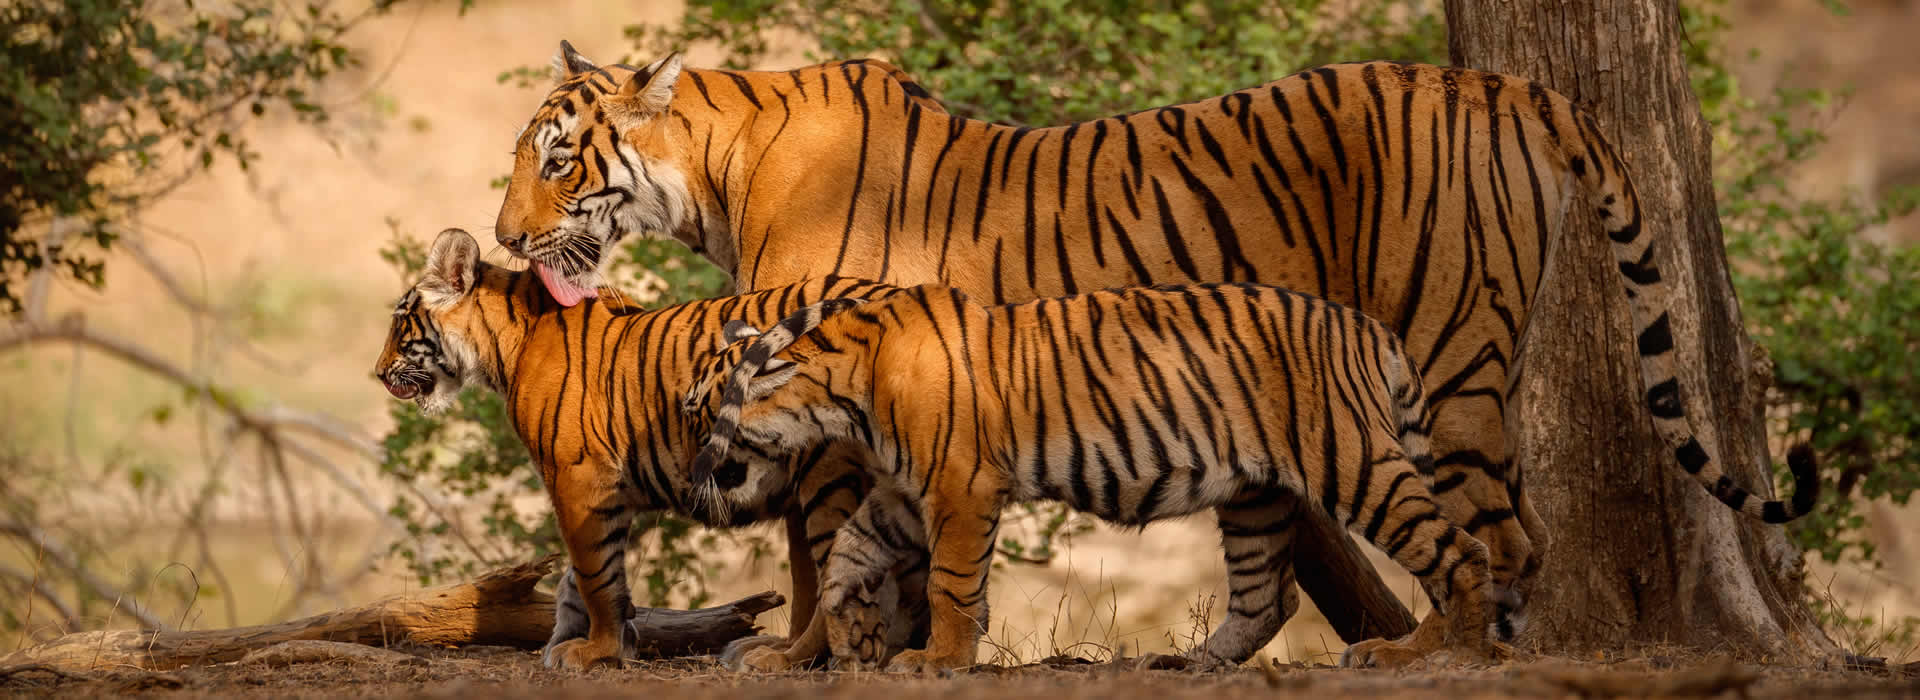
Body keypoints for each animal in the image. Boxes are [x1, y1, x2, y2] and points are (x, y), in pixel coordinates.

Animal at [370, 227, 927, 670]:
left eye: (399, 322)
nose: (377, 373)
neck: (506, 343)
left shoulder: (579, 476)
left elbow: (595, 575)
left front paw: (595, 650)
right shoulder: (602, 488)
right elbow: (582, 579)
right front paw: (589, 644)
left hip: (828, 475)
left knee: (842, 579)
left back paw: (786, 659)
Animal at [679, 282, 1518, 671]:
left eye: (697, 412)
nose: (692, 479)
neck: (841, 394)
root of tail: (1373, 328)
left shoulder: (959, 487)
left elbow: (951, 584)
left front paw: (938, 660)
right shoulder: (900, 493)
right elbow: (843, 562)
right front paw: (812, 649)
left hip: (1352, 459)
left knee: (1461, 551)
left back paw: (1437, 653)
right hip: (1256, 496)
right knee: (1267, 596)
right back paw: (1185, 663)